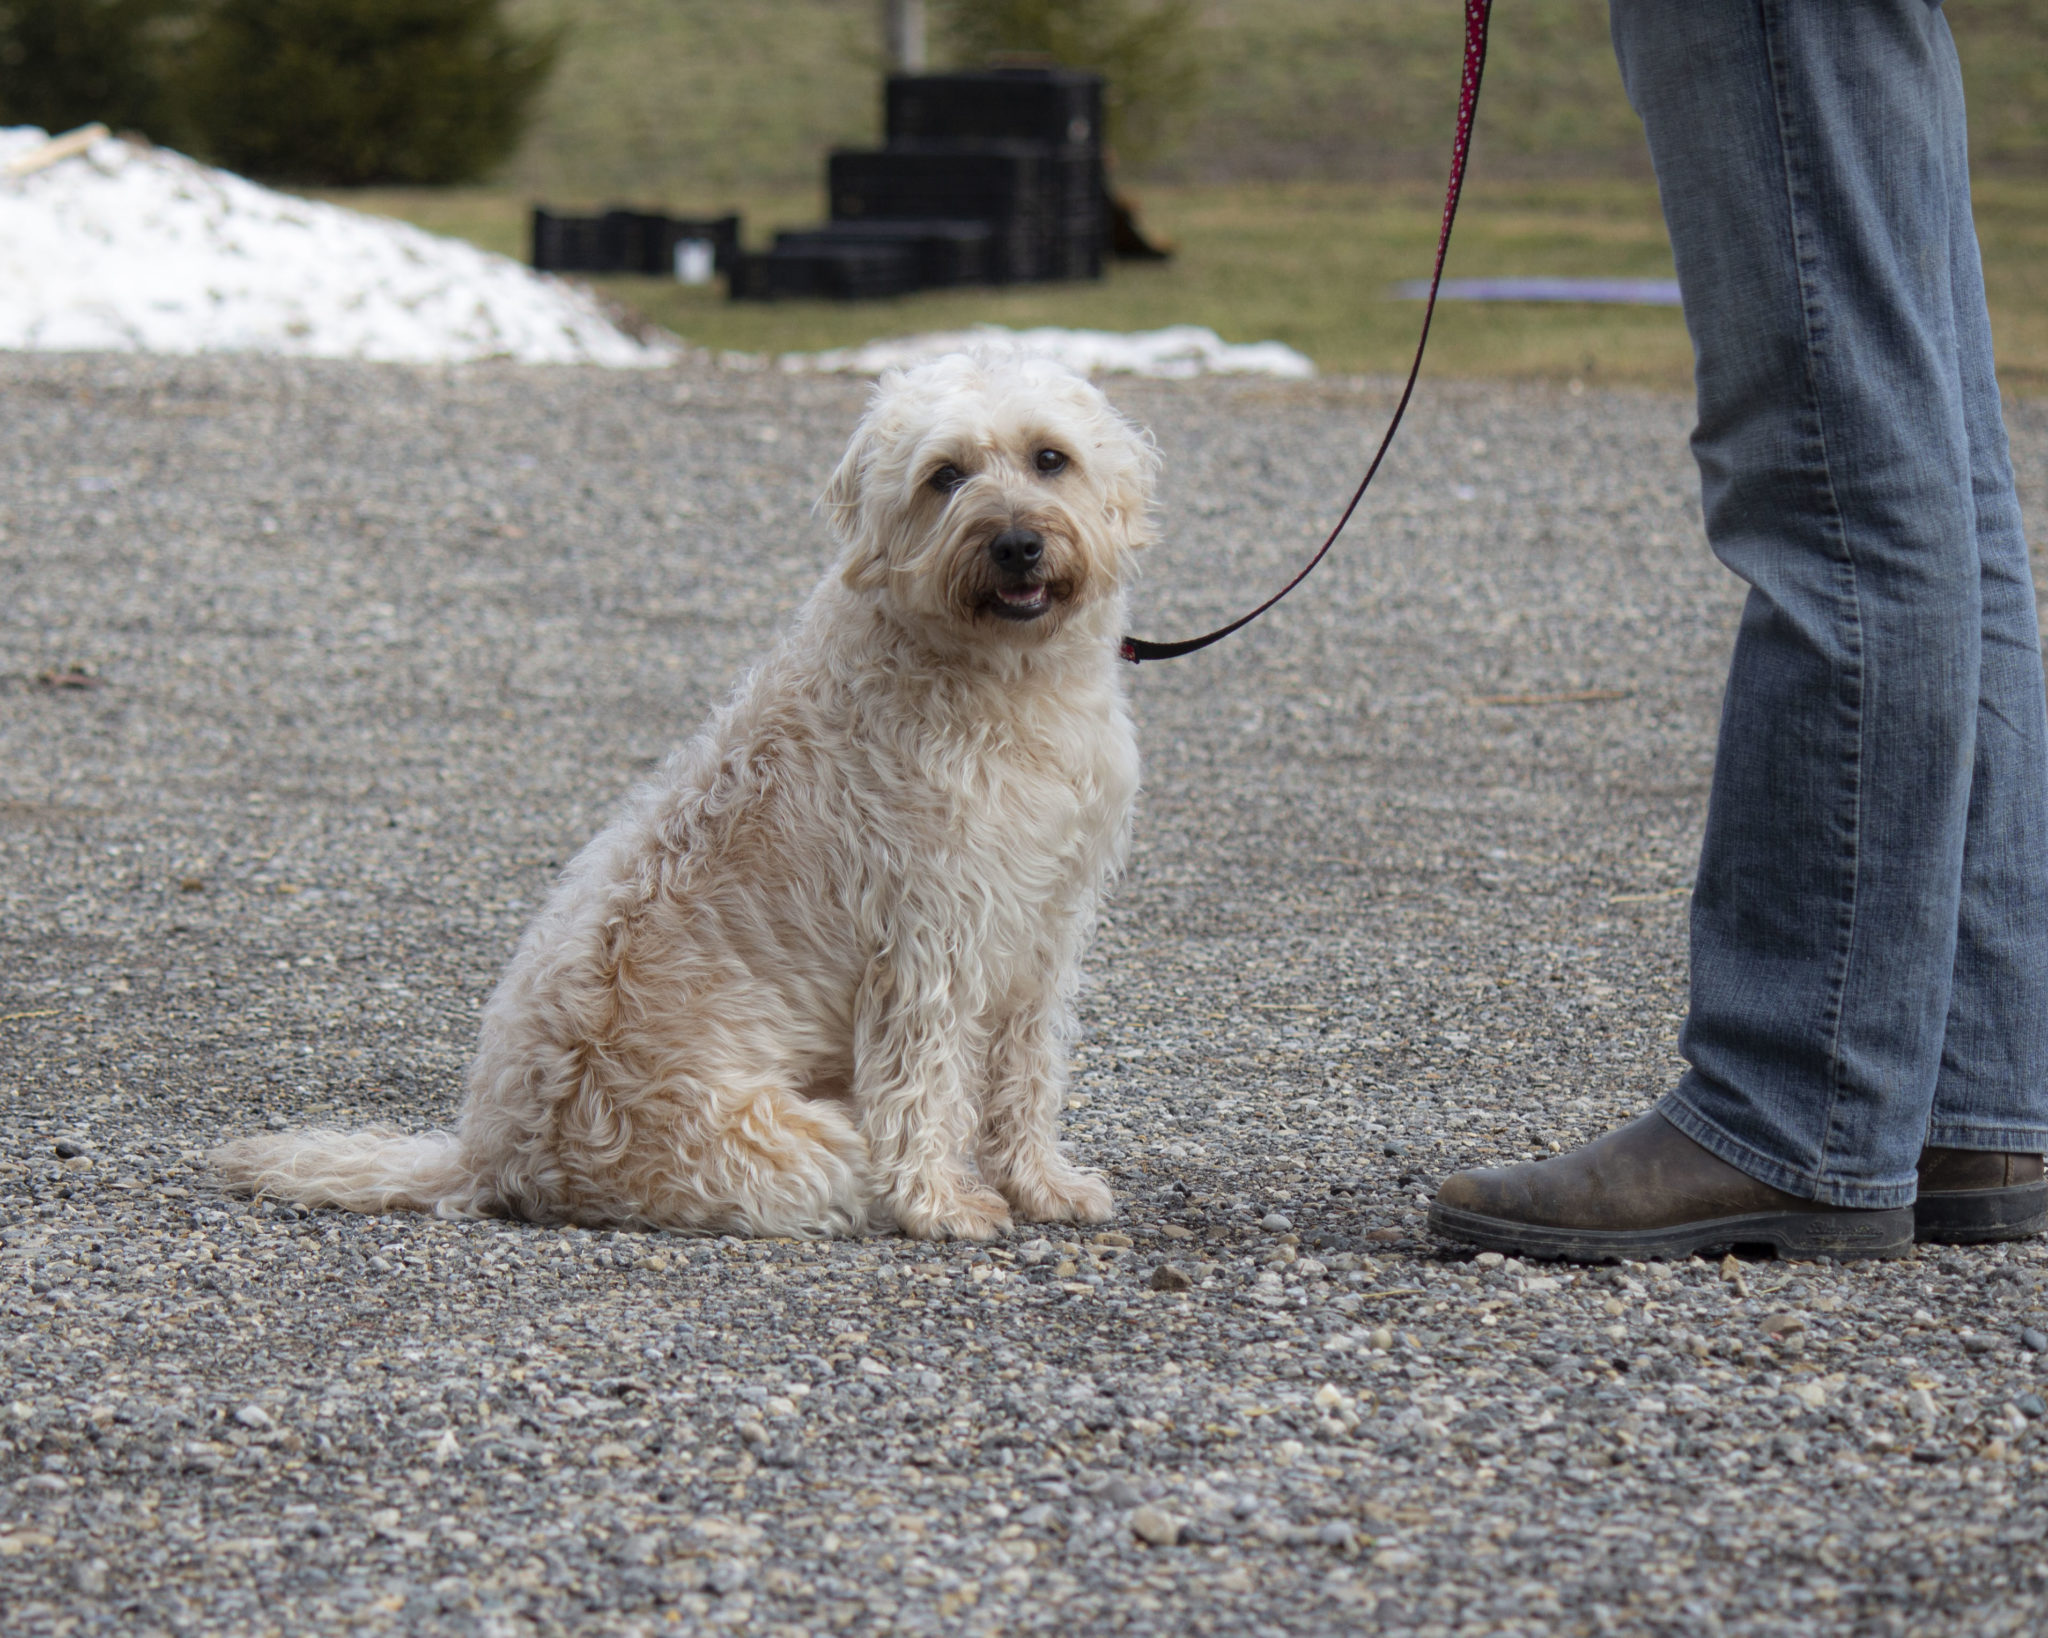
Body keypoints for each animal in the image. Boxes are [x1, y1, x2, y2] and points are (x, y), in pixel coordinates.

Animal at [224, 352, 1163, 1236]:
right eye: (947, 474)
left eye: (1050, 458)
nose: (1016, 544)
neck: (1006, 680)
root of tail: (488, 1157)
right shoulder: (932, 940)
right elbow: (926, 1083)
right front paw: (939, 1203)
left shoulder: (1044, 927)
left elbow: (1028, 1072)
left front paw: (1043, 1185)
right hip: (805, 1143)